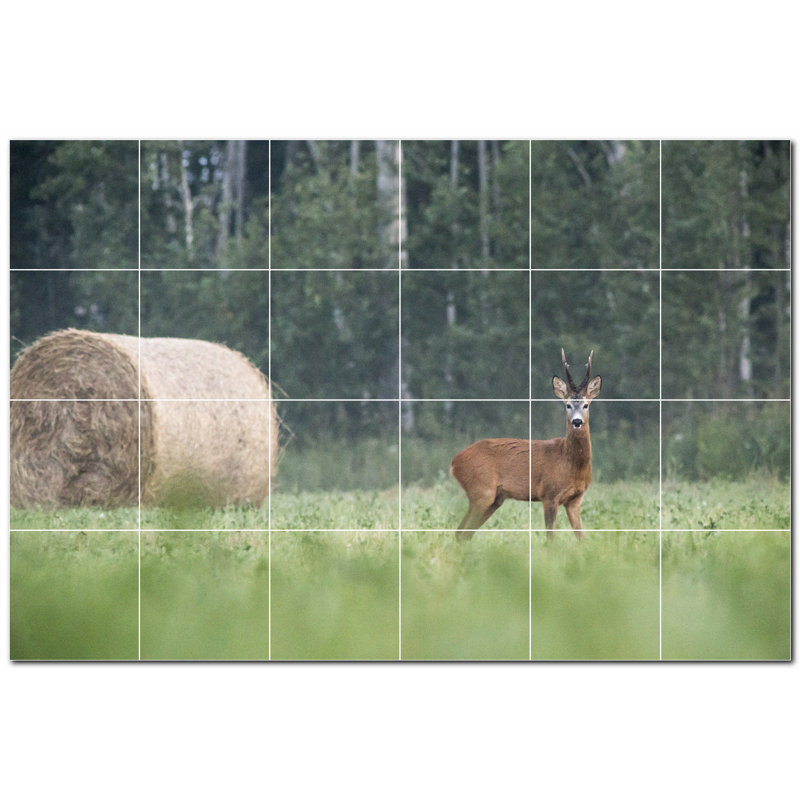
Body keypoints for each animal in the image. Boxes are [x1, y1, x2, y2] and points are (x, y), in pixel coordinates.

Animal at [451, 349, 601, 541]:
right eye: (567, 405)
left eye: (586, 405)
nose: (577, 422)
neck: (570, 463)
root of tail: (454, 462)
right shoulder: (549, 494)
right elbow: (551, 539)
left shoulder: (575, 500)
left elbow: (582, 538)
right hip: (481, 490)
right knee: (462, 532)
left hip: (494, 498)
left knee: (463, 533)